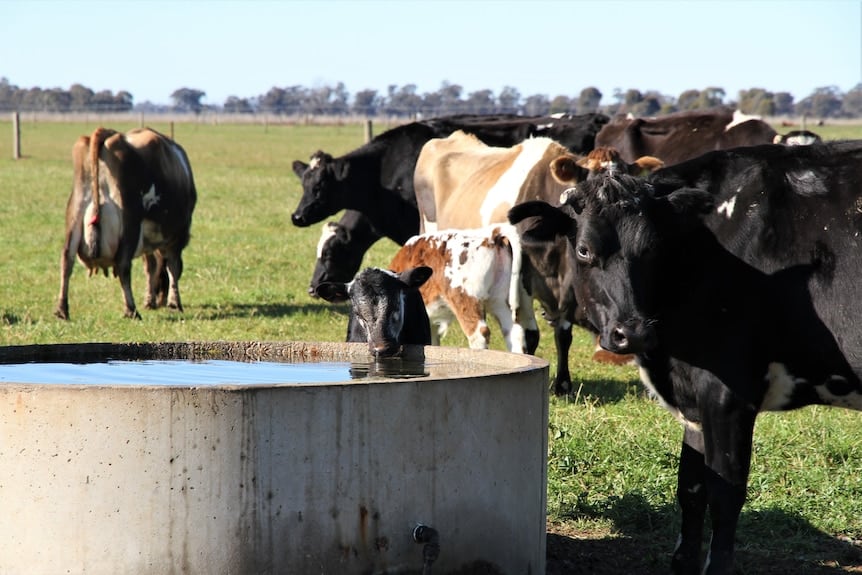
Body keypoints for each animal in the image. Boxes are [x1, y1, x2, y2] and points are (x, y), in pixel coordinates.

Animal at [56, 126, 198, 322]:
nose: (160, 301)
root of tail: (108, 135)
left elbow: (150, 267)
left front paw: (151, 300)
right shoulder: (178, 236)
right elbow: (173, 268)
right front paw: (174, 303)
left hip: (75, 219)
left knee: (66, 261)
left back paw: (62, 309)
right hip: (130, 225)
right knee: (123, 266)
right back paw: (131, 310)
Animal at [510, 141, 862, 575]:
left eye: (651, 249)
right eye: (584, 249)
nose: (635, 332)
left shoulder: (728, 392)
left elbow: (725, 493)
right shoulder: (695, 396)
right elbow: (691, 487)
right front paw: (683, 561)